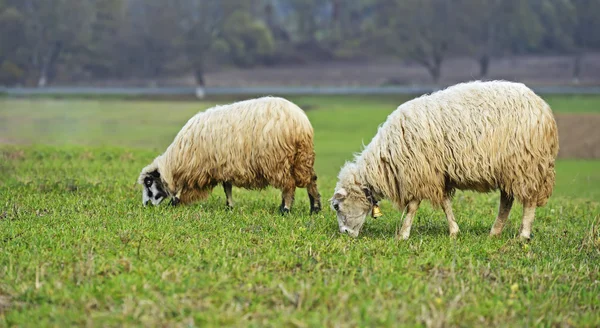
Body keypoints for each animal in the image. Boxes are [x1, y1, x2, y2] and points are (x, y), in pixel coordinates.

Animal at [138, 96, 322, 214]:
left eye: (149, 182)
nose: (145, 205)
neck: (178, 158)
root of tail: (301, 122)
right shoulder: (223, 166)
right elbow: (227, 188)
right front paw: (230, 207)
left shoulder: (198, 167)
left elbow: (185, 187)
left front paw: (174, 202)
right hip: (302, 157)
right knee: (311, 180)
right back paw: (315, 208)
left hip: (277, 160)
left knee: (289, 184)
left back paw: (285, 209)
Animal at [330, 80, 560, 240]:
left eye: (336, 207)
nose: (345, 234)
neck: (386, 159)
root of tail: (543, 108)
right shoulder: (439, 173)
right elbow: (445, 204)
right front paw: (454, 231)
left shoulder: (421, 171)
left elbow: (413, 206)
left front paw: (403, 234)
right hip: (508, 168)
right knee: (506, 201)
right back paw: (494, 232)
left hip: (525, 164)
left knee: (528, 200)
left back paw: (523, 235)